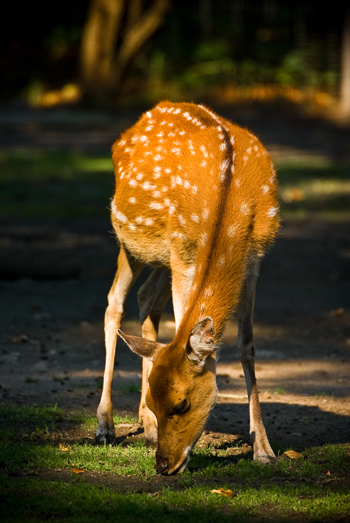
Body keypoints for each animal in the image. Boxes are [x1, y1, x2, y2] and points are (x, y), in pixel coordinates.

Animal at [96, 101, 282, 474]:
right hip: (131, 241)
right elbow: (183, 321)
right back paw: (106, 426)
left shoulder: (254, 258)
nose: (163, 465)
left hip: (160, 256)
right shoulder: (183, 252)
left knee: (146, 299)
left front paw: (264, 449)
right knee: (114, 303)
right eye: (157, 400)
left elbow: (247, 345)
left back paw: (142, 425)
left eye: (180, 404)